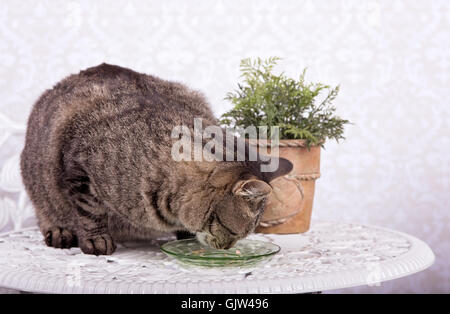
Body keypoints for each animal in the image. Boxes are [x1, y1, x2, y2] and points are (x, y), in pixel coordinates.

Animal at [20, 63, 292, 255]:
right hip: (36, 181)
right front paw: (96, 239)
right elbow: (90, 211)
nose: (227, 249)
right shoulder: (78, 166)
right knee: (46, 210)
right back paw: (59, 231)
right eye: (233, 231)